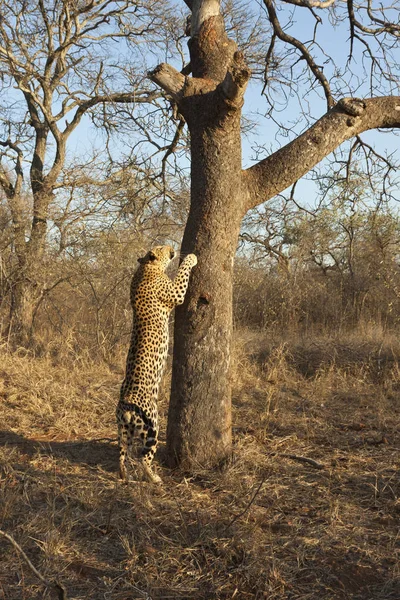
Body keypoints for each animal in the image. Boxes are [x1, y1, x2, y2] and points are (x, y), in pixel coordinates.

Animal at [115, 244, 197, 482]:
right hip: (153, 426)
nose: (172, 246)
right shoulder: (176, 292)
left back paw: (124, 475)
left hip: (123, 431)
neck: (146, 267)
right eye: (160, 247)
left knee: (122, 454)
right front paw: (191, 257)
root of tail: (126, 408)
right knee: (144, 458)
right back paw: (154, 478)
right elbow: (183, 272)